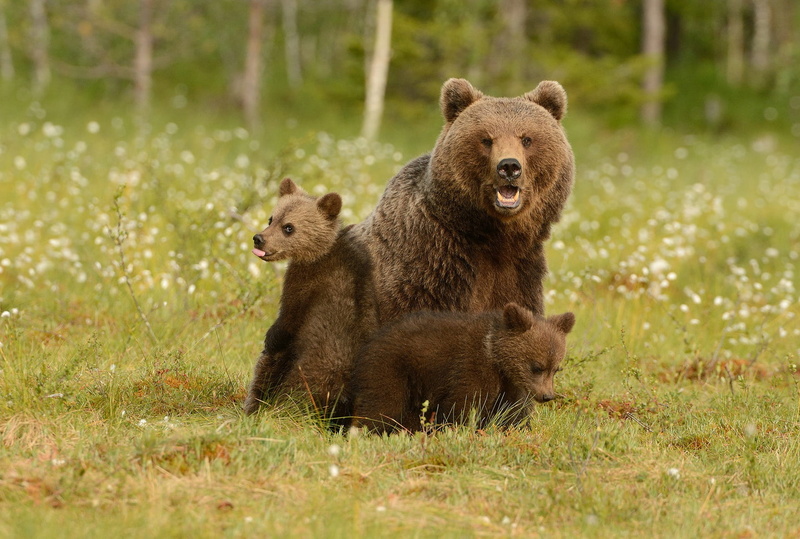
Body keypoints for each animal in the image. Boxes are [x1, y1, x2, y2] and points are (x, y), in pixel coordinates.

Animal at [244, 178, 378, 419]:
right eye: (271, 218)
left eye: (289, 227)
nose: (259, 239)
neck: (320, 252)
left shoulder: (303, 283)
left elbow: (286, 321)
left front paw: (270, 337)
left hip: (312, 371)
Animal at [350, 302, 575, 434]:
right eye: (537, 367)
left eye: (556, 369)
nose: (547, 396)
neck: (495, 355)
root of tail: (370, 342)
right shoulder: (472, 366)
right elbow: (465, 403)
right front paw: (458, 430)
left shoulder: (511, 384)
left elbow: (511, 411)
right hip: (392, 367)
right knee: (383, 404)